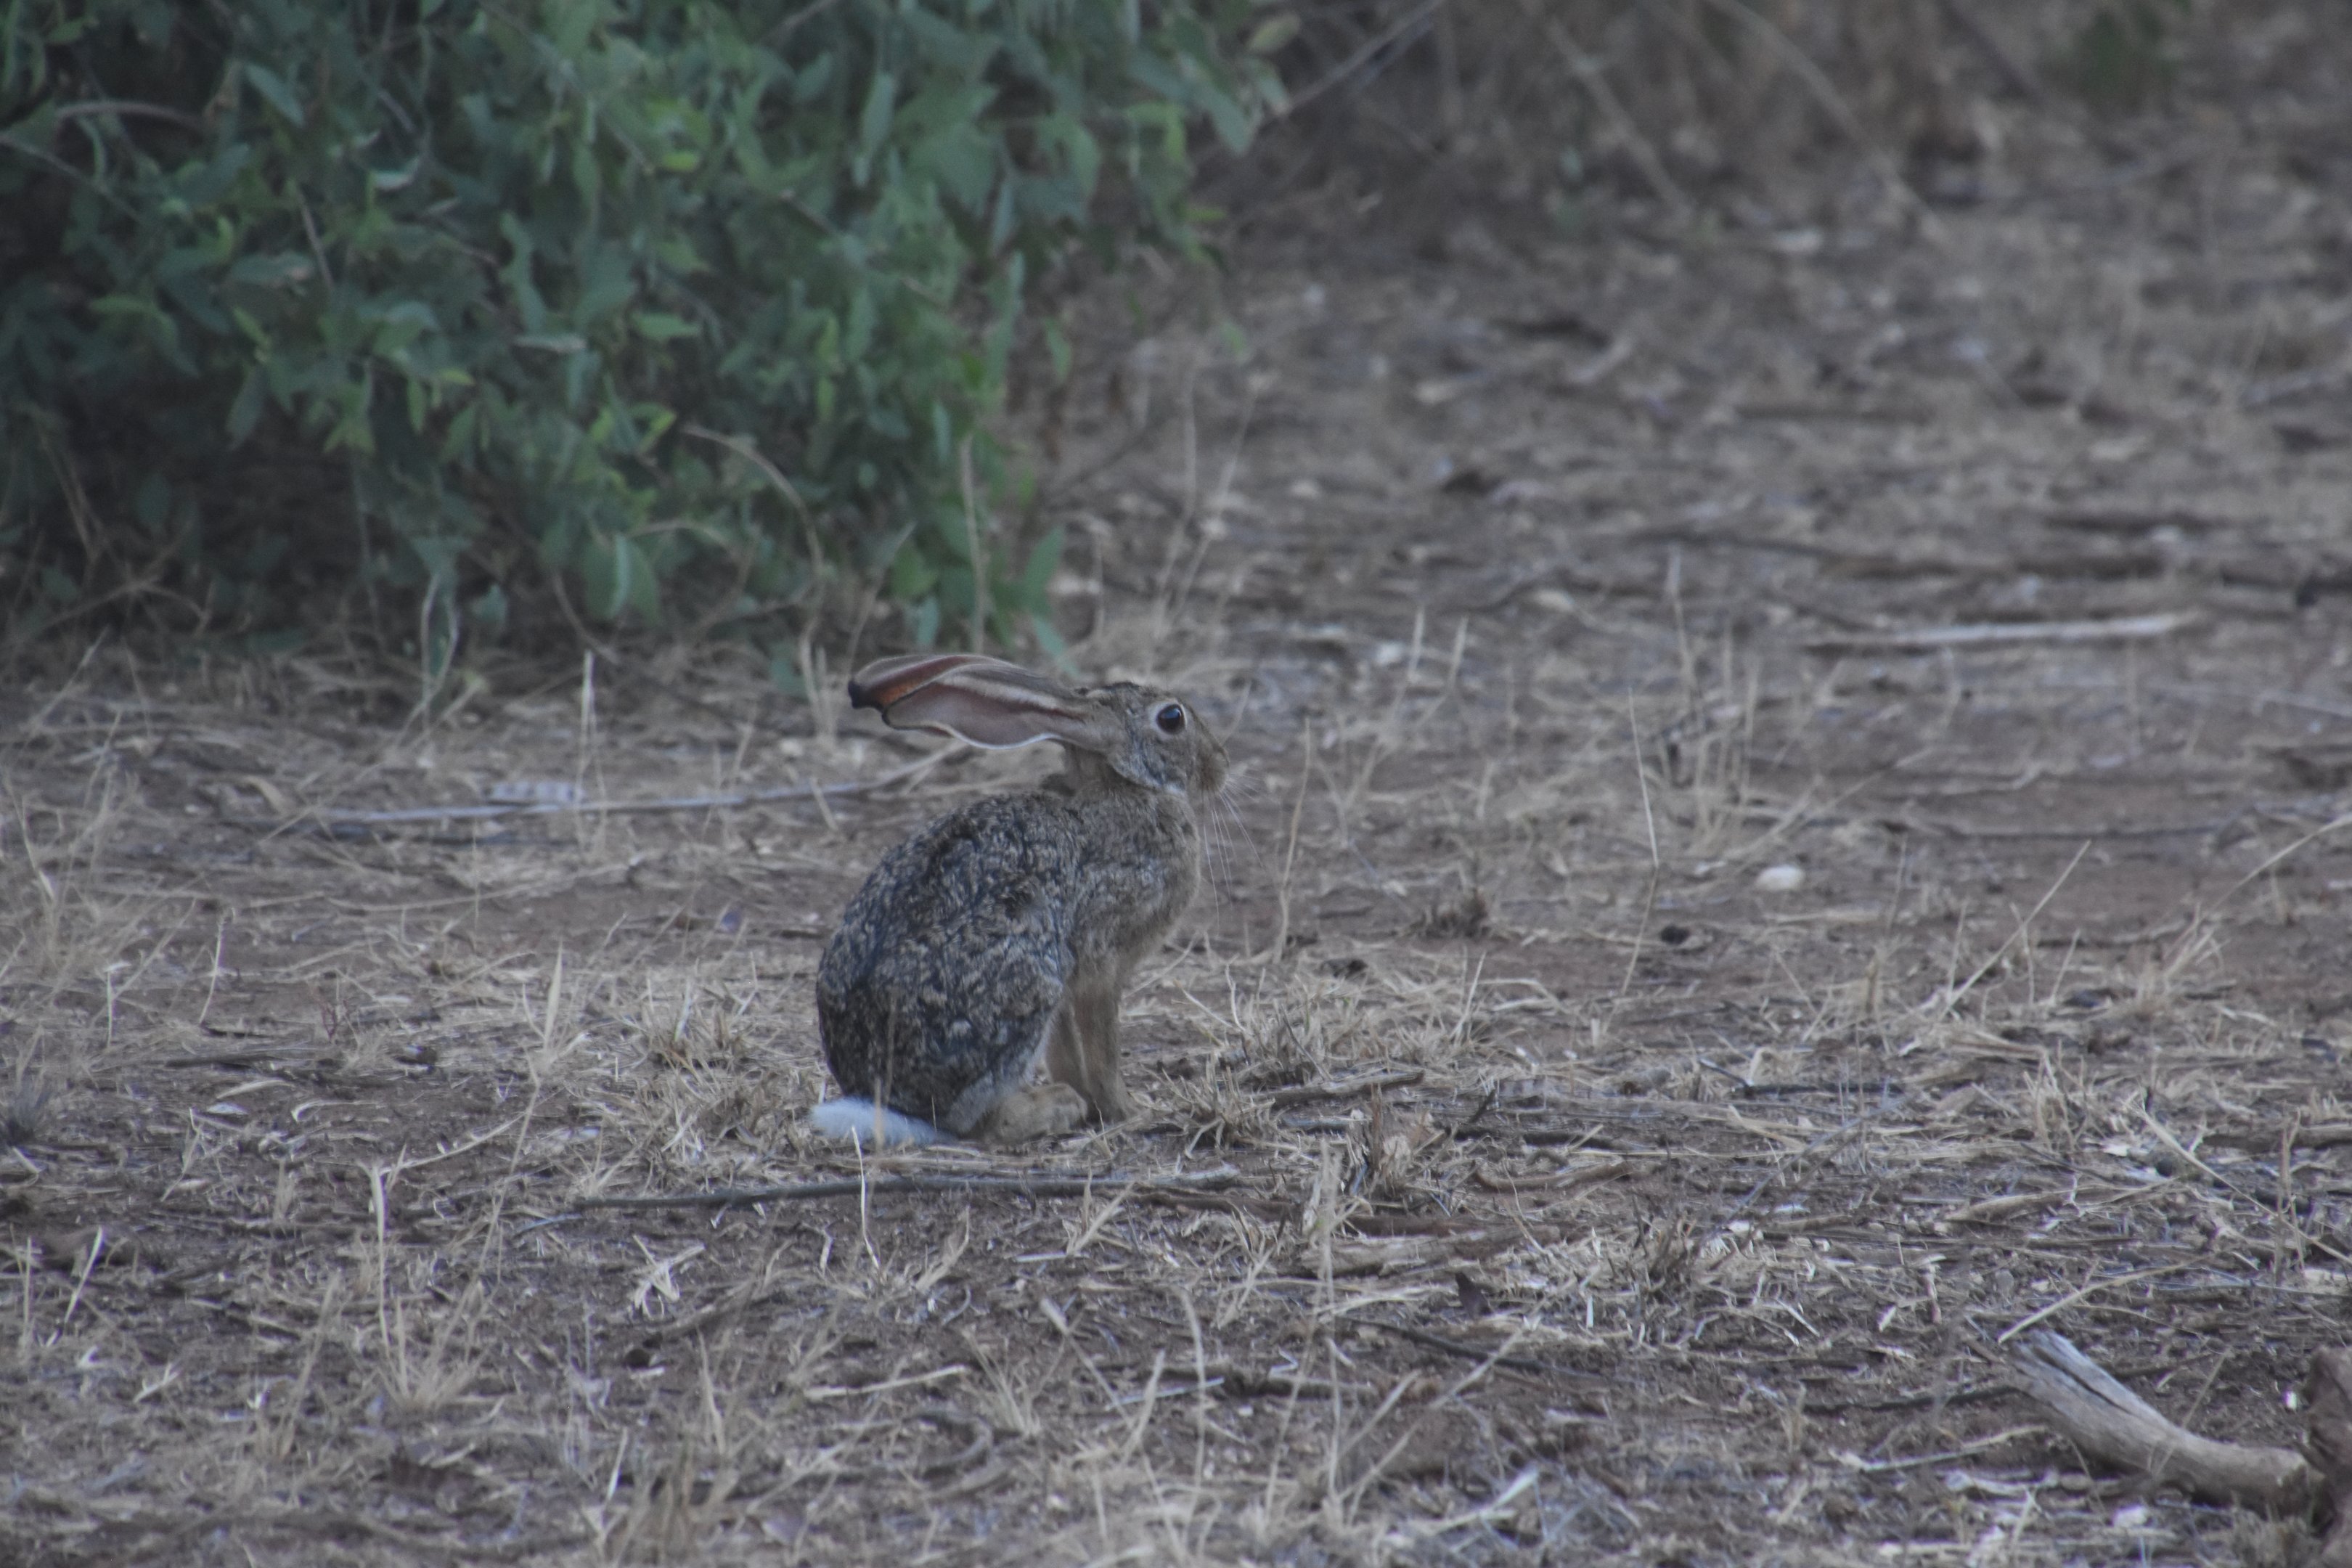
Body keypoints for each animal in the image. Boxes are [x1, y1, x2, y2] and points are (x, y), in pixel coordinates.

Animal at [808, 653, 1228, 1148]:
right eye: (1172, 718)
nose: (1220, 765)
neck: (1120, 788)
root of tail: (895, 1105)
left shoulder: (1070, 985)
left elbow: (1066, 1048)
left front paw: (1092, 1102)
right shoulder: (1100, 965)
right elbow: (1103, 1046)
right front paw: (1127, 1112)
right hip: (1024, 980)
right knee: (978, 1124)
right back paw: (1055, 1106)